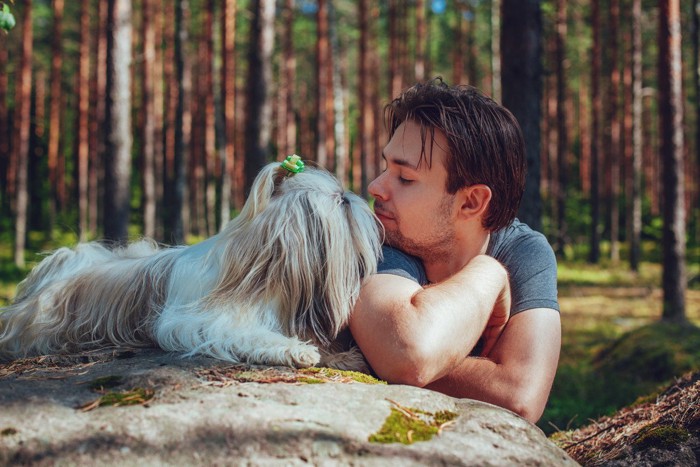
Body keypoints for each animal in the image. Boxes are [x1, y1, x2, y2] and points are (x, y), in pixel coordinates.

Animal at [1, 157, 382, 372]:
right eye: (340, 202)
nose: (357, 196)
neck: (258, 273)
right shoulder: (198, 321)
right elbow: (243, 333)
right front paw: (293, 350)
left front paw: (343, 356)